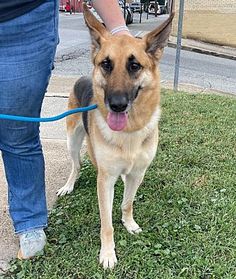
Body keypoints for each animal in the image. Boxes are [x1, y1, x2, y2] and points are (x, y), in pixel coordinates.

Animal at [57, 1, 173, 270]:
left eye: (134, 65)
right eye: (106, 64)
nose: (117, 105)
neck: (129, 132)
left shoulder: (137, 173)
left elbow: (128, 203)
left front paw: (129, 224)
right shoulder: (105, 180)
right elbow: (106, 223)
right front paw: (108, 253)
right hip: (72, 141)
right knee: (76, 166)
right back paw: (69, 185)